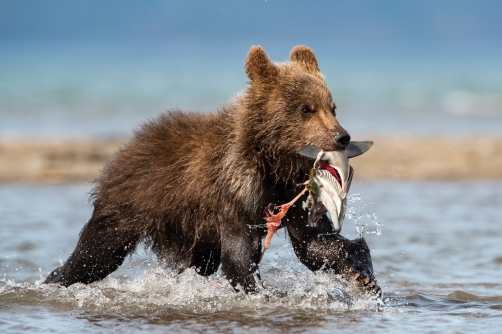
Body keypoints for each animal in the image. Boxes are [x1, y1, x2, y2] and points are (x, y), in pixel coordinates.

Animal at [44, 45, 380, 294]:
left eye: (332, 106)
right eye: (305, 108)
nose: (341, 136)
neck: (274, 162)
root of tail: (128, 145)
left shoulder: (296, 195)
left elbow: (315, 243)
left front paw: (363, 276)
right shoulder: (236, 192)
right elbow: (239, 256)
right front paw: (261, 292)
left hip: (194, 231)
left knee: (198, 262)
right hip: (129, 202)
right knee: (96, 253)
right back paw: (55, 278)